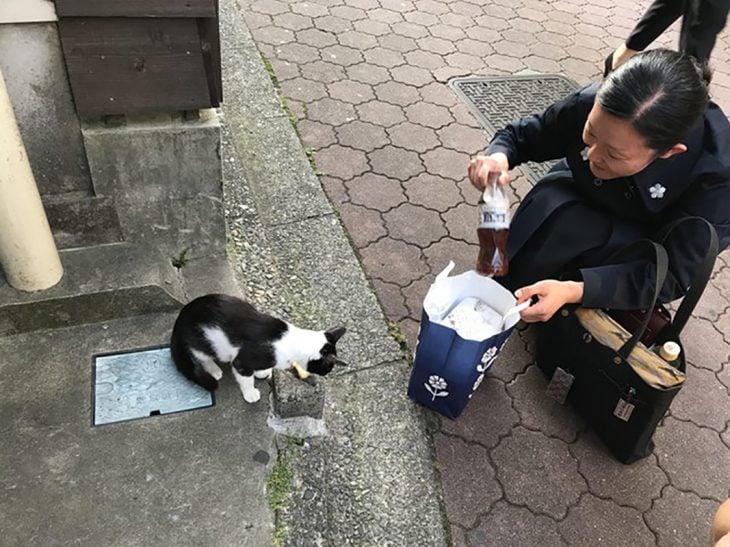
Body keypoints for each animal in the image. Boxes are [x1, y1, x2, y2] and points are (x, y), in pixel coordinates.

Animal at [169, 296, 346, 402]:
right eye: (328, 368)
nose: (326, 375)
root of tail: (181, 315)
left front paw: (261, 372)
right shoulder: (243, 361)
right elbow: (246, 378)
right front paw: (250, 393)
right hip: (203, 342)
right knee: (202, 357)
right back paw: (214, 370)